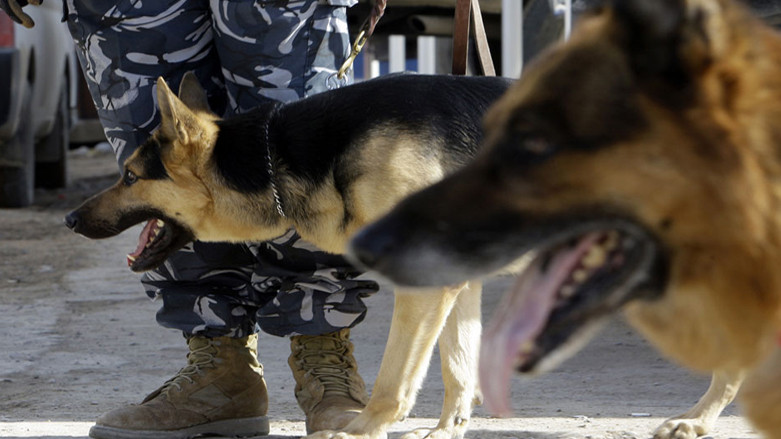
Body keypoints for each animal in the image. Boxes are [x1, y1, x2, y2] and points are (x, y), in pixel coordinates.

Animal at [65, 74, 512, 438]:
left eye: (130, 177)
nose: (69, 218)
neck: (274, 160)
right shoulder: (452, 282)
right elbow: (458, 369)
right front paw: (446, 431)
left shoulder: (424, 287)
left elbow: (394, 382)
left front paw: (358, 432)